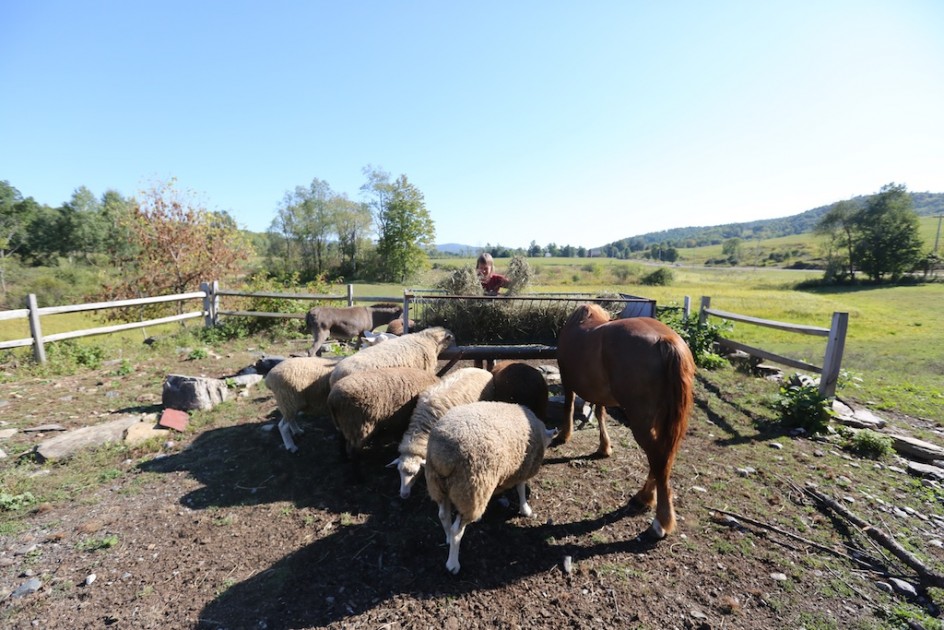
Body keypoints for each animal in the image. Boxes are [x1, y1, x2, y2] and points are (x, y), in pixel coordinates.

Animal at [424, 402, 556, 576]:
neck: (540, 433)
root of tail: (442, 456)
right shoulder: (523, 468)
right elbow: (521, 489)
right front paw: (526, 509)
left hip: (439, 486)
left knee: (443, 516)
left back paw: (447, 539)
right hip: (469, 489)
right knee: (456, 531)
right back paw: (453, 564)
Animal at [552, 304, 692, 540]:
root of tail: (665, 341)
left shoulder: (567, 380)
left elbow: (569, 405)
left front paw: (564, 434)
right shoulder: (600, 395)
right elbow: (600, 413)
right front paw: (604, 447)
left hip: (642, 421)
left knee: (659, 459)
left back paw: (660, 520)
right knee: (663, 457)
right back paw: (645, 497)